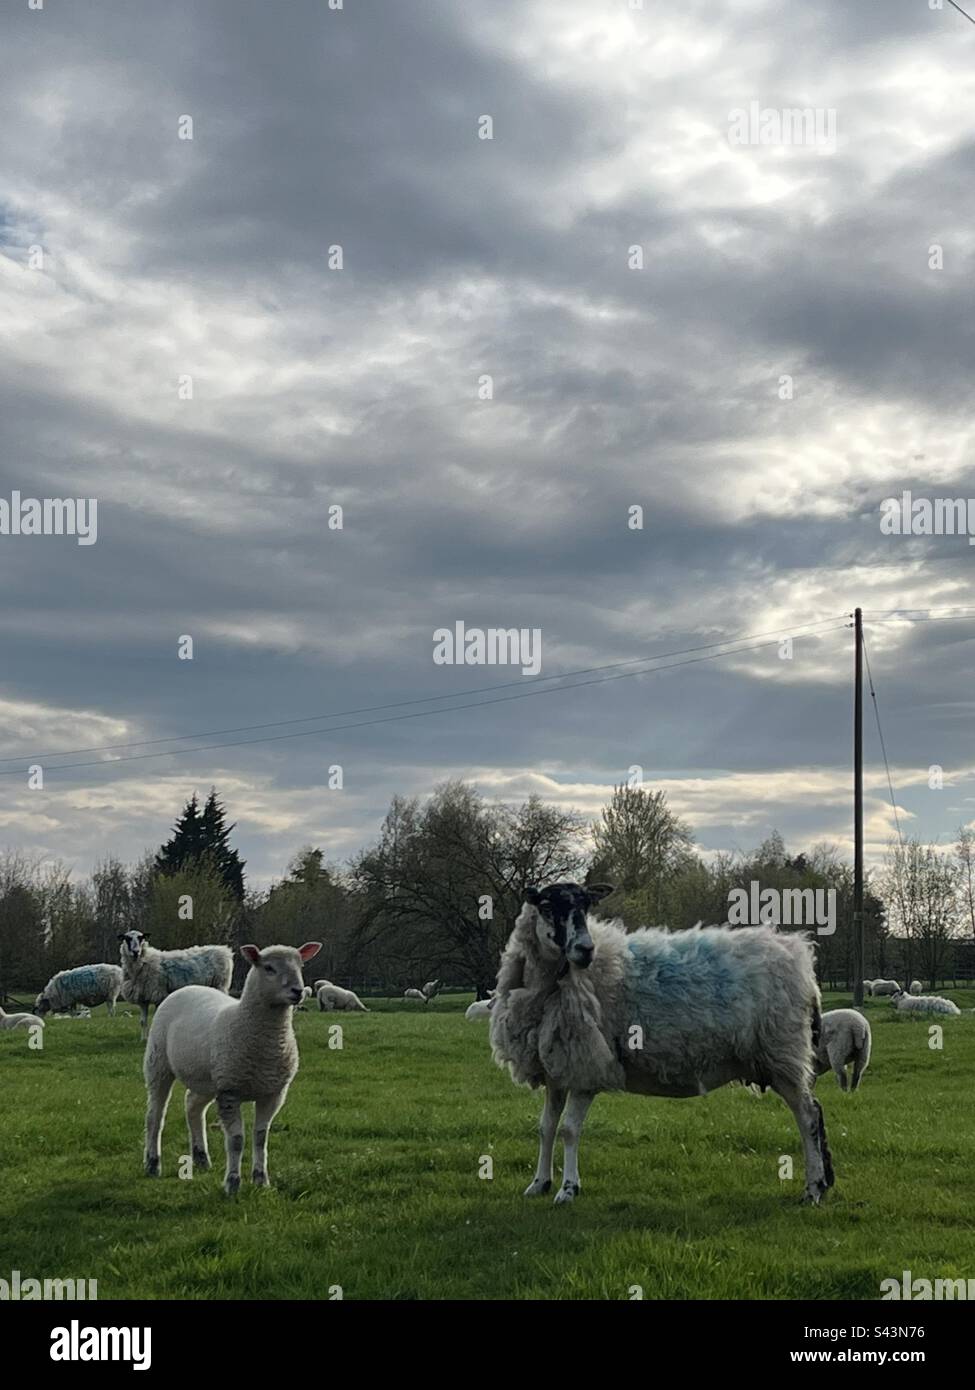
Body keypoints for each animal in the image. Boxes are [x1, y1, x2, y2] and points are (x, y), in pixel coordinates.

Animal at [143, 941, 322, 1194]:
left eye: (301, 965)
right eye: (268, 968)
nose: (298, 991)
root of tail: (188, 988)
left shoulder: (273, 1093)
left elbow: (261, 1137)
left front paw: (261, 1180)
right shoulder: (230, 1091)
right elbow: (236, 1140)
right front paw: (233, 1183)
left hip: (208, 1078)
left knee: (192, 1106)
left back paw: (201, 1157)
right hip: (158, 1063)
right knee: (155, 1116)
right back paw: (152, 1163)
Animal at [490, 882, 834, 1206]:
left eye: (587, 906)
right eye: (547, 906)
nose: (585, 949)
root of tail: (803, 964)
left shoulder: (588, 1066)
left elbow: (569, 1130)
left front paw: (568, 1189)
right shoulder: (557, 1070)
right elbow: (546, 1127)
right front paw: (539, 1184)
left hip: (783, 1053)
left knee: (808, 1116)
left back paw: (813, 1189)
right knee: (814, 1111)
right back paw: (822, 1184)